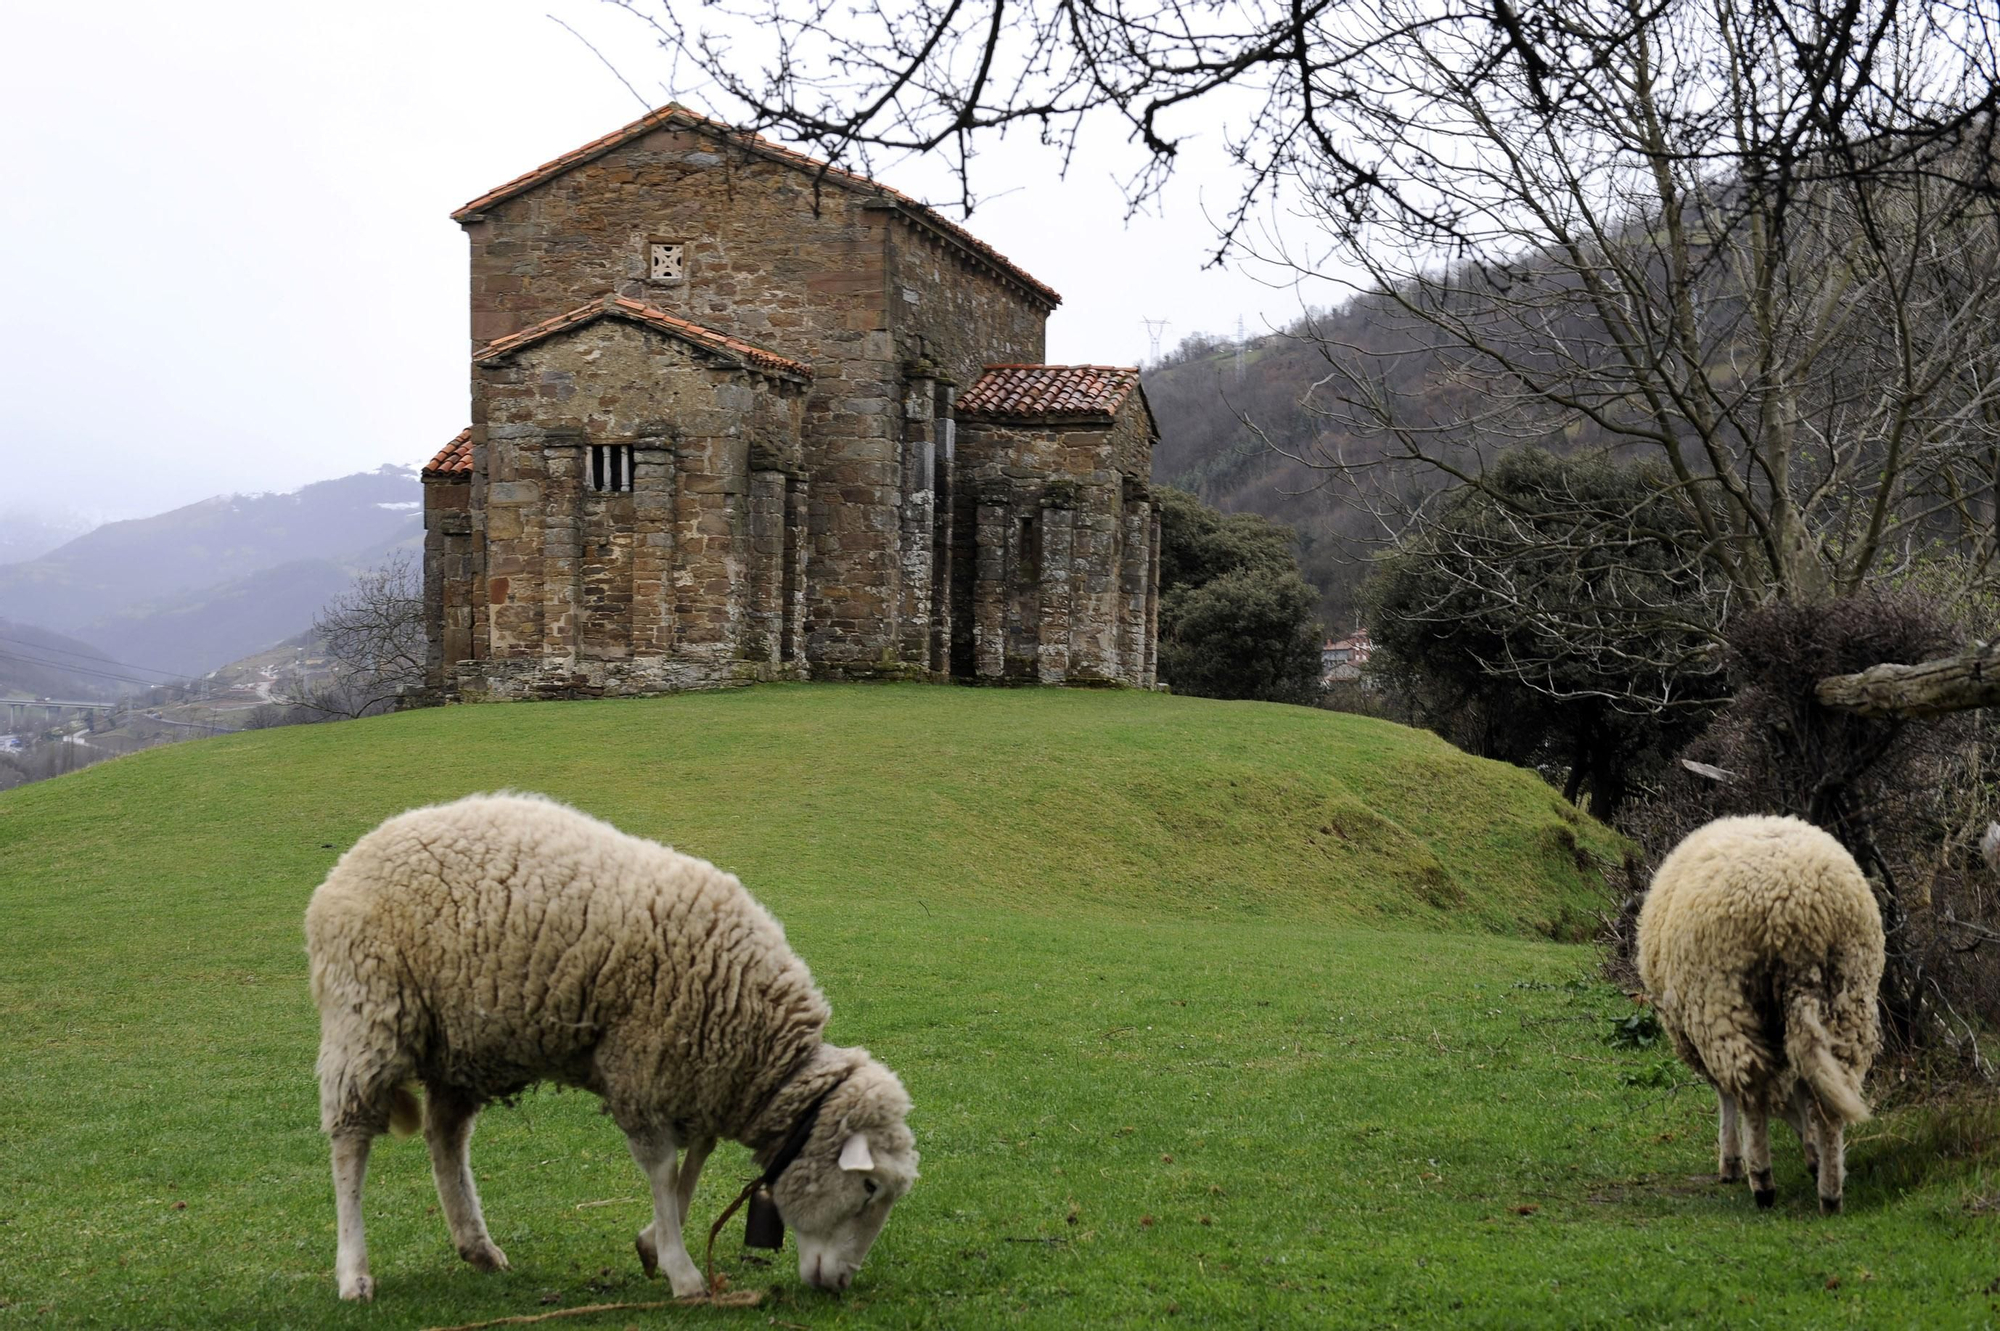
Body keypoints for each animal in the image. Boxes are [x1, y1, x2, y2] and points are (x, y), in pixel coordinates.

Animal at [304, 787, 920, 1295]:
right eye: (869, 1189)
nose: (840, 1283)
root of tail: (349, 861)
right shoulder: (641, 1066)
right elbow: (662, 1168)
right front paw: (682, 1272)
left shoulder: (693, 1073)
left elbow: (695, 1157)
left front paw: (653, 1243)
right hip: (368, 1014)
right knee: (350, 1141)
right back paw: (354, 1273)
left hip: (458, 1046)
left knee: (446, 1137)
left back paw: (476, 1246)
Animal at [1632, 815, 1880, 1207]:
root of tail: (1799, 906)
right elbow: (1801, 1090)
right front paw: (1812, 1152)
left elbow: (1726, 1095)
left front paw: (1732, 1159)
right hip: (1849, 994)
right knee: (1829, 1098)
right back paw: (1830, 1191)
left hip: (1723, 1000)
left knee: (1753, 1091)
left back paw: (1762, 1180)